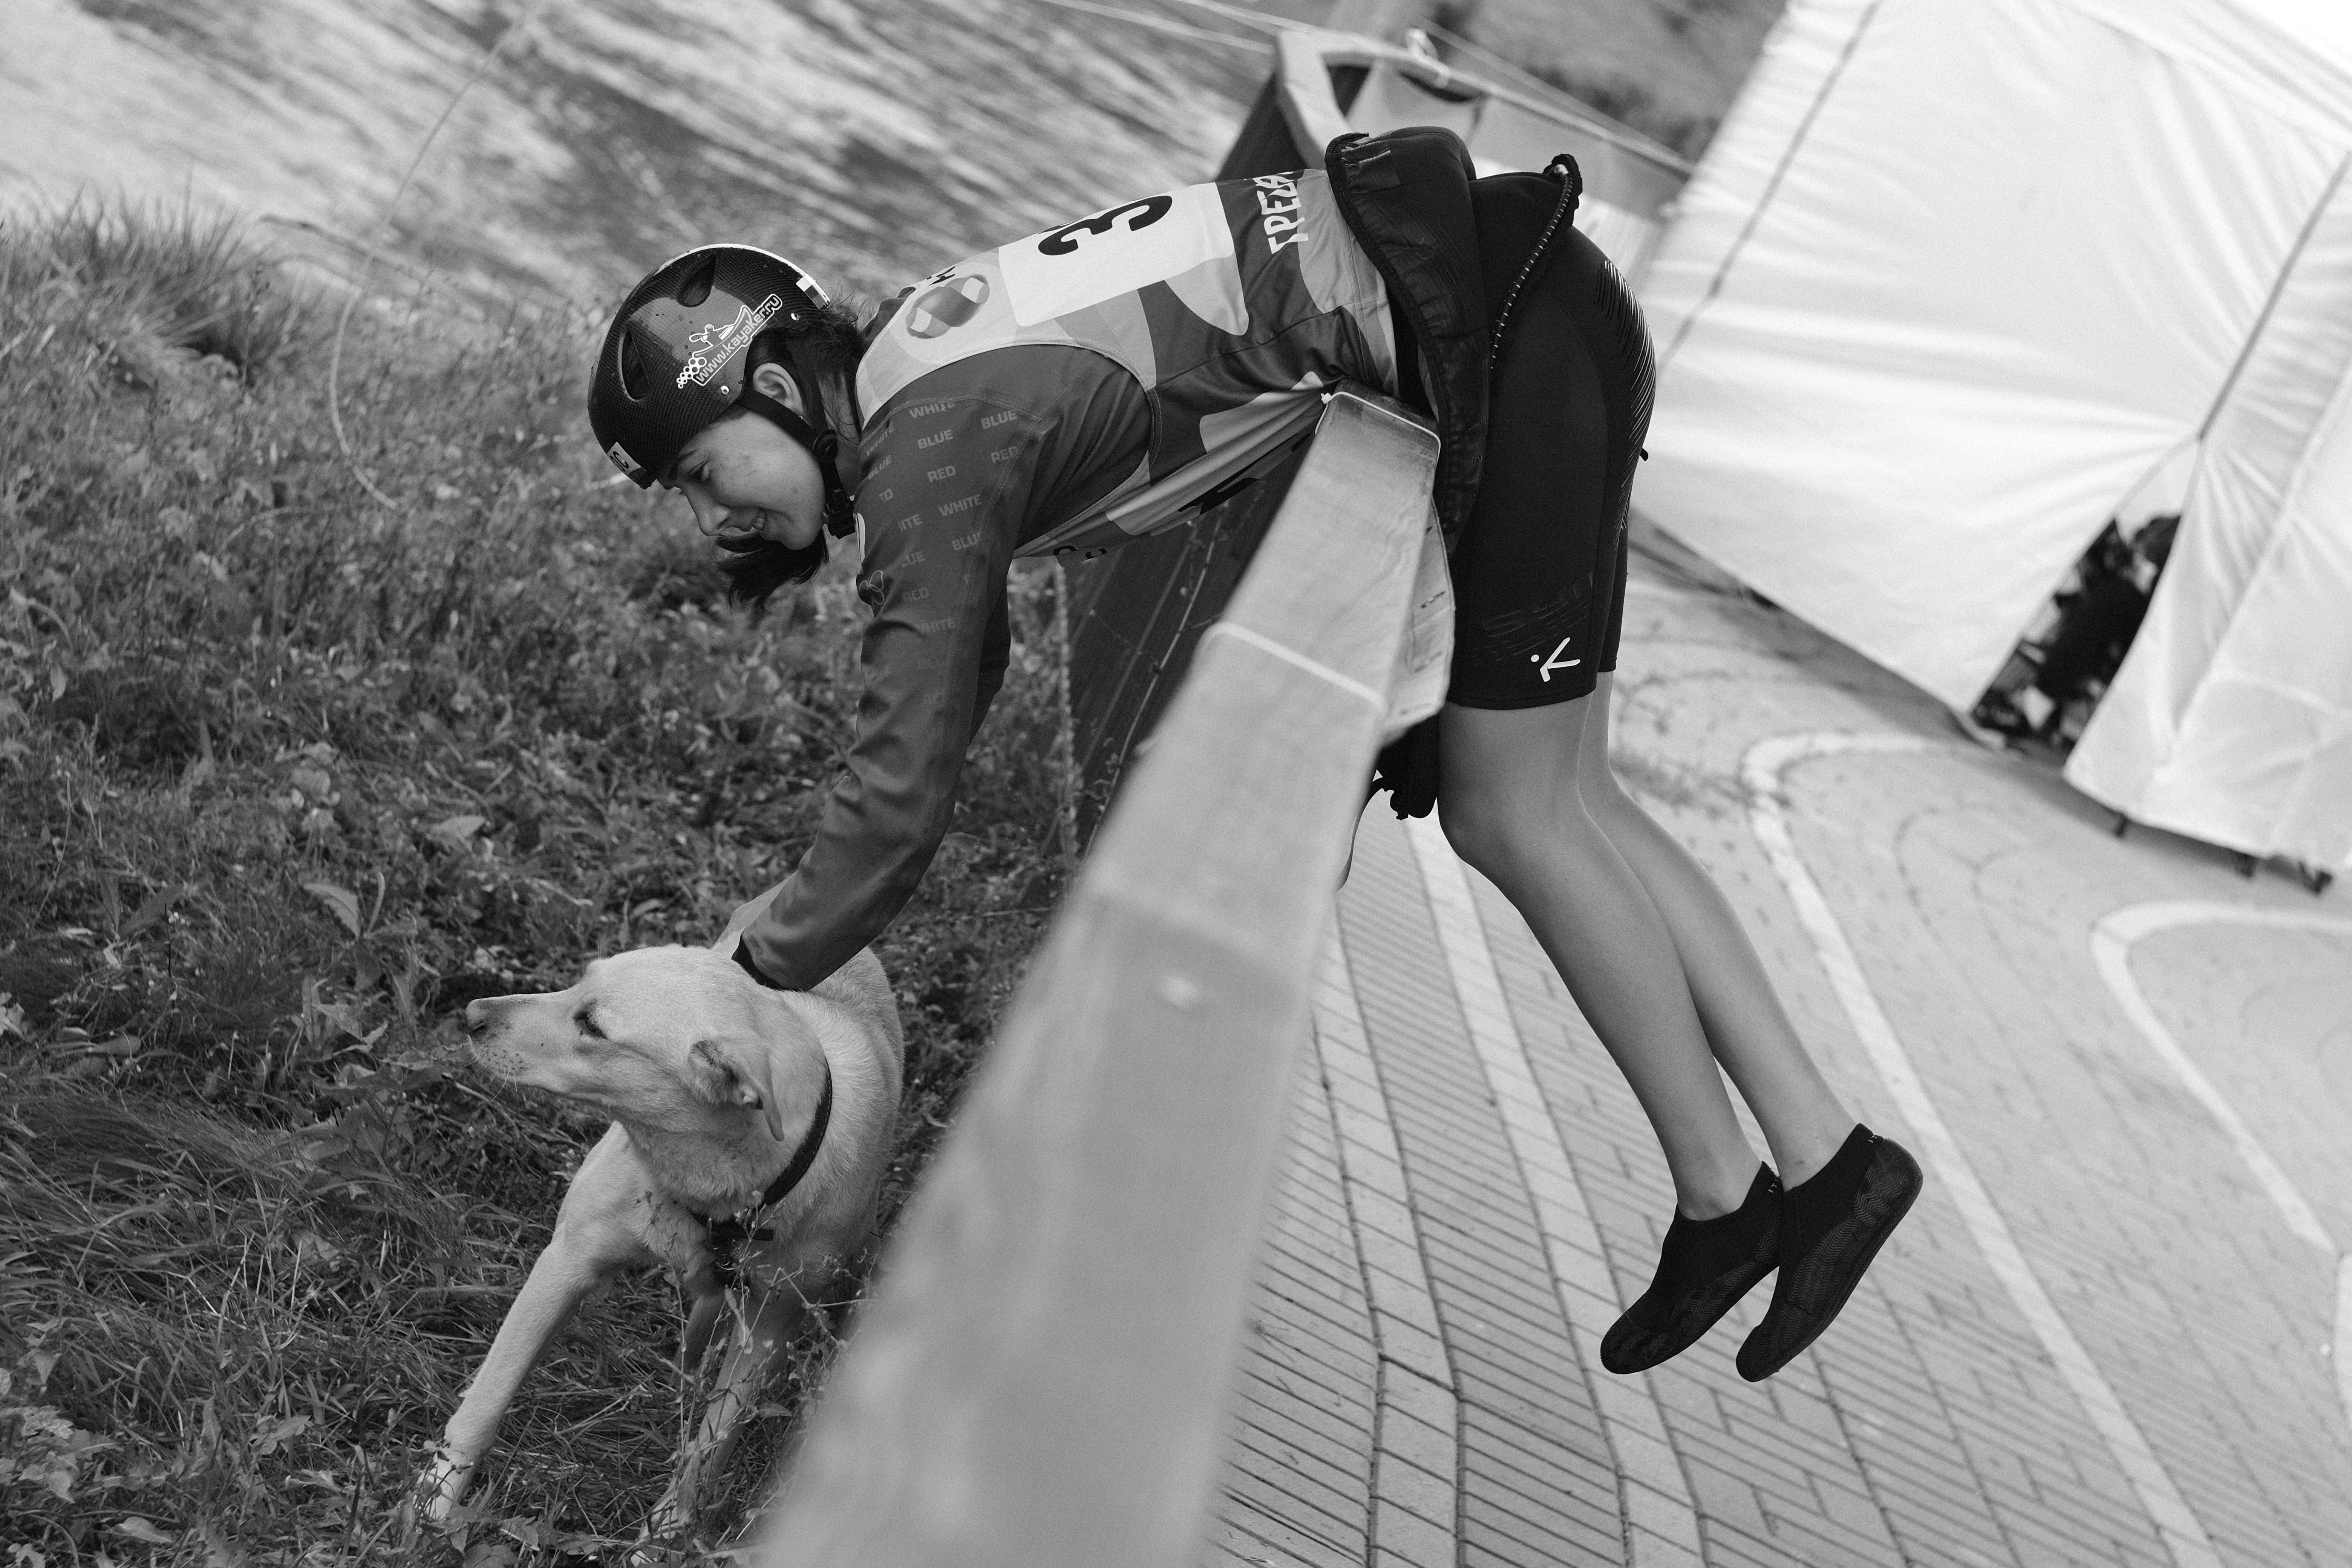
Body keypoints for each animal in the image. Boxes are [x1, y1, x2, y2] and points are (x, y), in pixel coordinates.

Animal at [414, 902, 903, 1542]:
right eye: (580, 981)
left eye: (593, 1027)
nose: (471, 1014)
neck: (713, 1192)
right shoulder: (567, 1262)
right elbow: (488, 1397)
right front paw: (437, 1500)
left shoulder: (769, 1330)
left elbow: (709, 1446)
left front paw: (665, 1534)